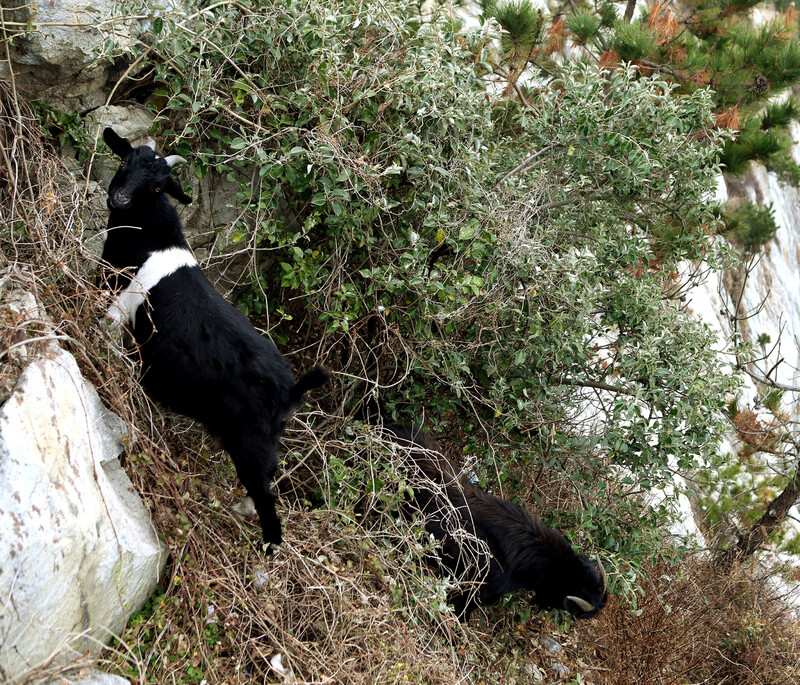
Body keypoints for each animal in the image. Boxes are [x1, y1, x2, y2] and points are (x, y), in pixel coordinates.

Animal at [101, 124, 332, 552]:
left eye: (158, 187)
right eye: (126, 161)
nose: (120, 198)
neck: (151, 238)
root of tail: (292, 391)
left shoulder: (123, 300)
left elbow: (102, 329)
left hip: (250, 446)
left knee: (267, 498)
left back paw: (267, 545)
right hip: (261, 444)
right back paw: (241, 510)